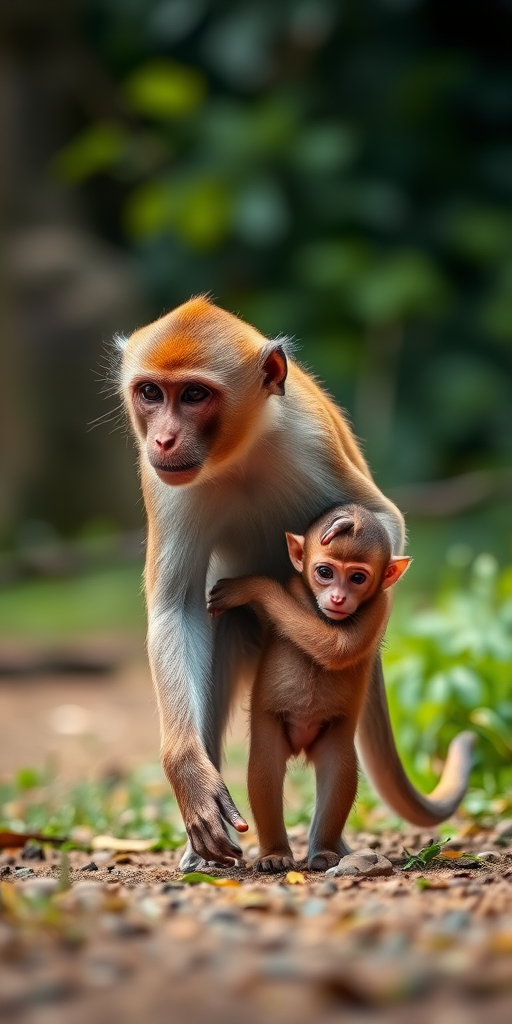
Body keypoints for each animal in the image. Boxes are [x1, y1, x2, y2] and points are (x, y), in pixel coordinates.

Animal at [207, 504, 413, 871]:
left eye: (358, 578)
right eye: (325, 572)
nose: (337, 597)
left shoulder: (378, 607)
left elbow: (337, 646)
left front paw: (252, 587)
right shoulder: (295, 585)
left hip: (332, 739)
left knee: (339, 772)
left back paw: (322, 852)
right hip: (272, 729)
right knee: (264, 771)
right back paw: (275, 853)